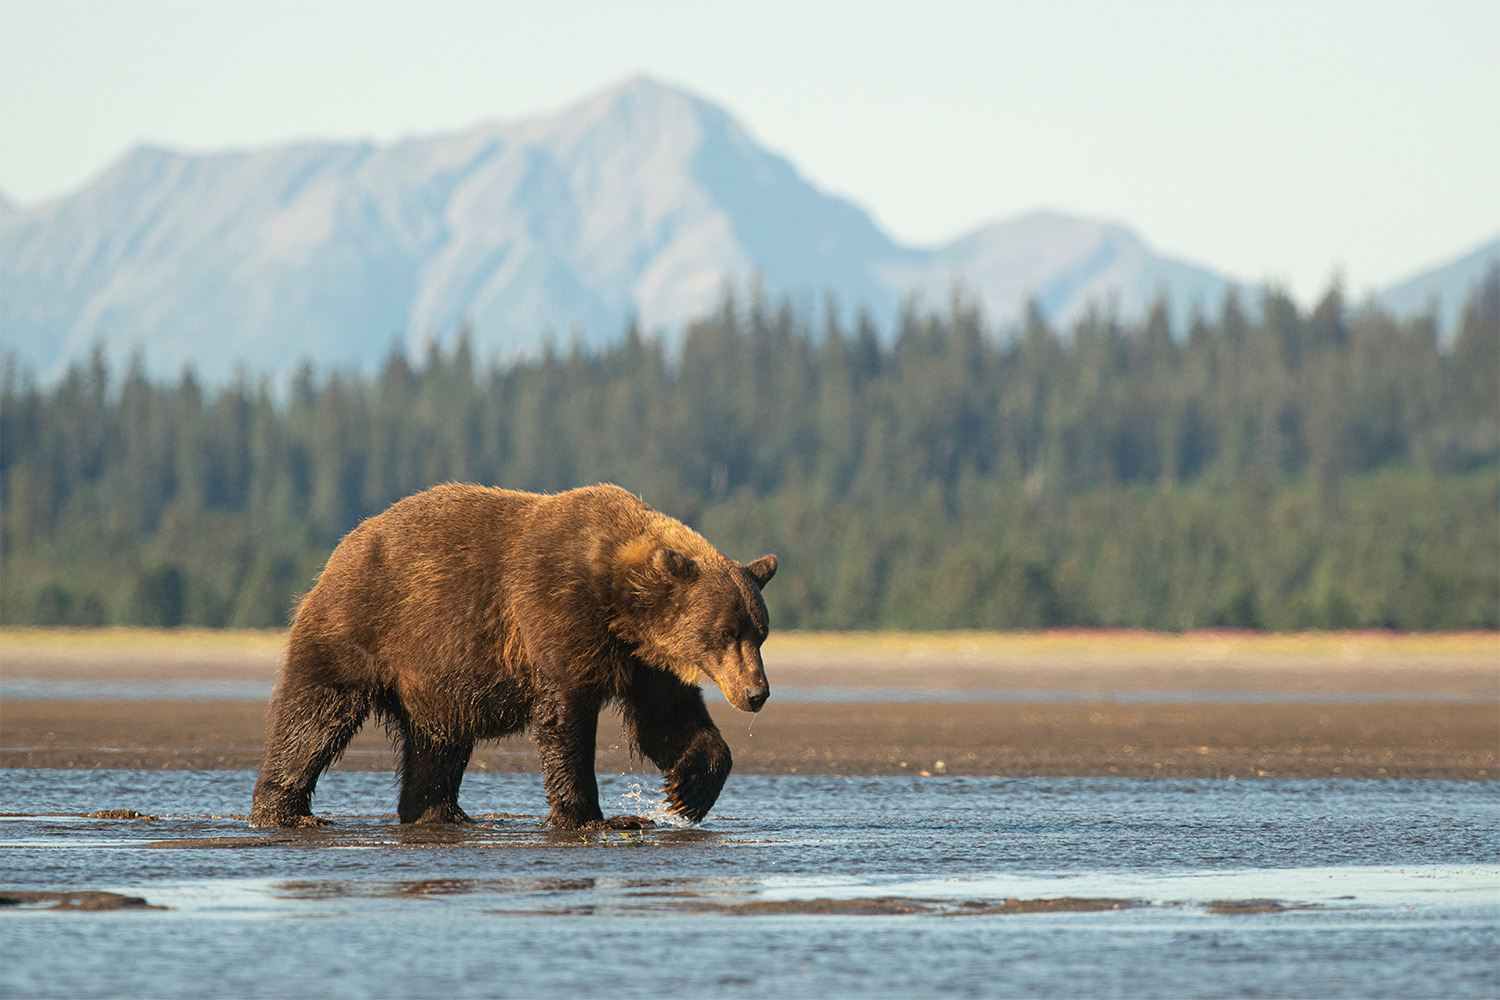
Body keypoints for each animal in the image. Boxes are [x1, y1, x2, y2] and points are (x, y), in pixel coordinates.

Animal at [249, 483, 776, 830]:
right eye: (725, 632)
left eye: (761, 632)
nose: (757, 692)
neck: (620, 603)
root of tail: (345, 544)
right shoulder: (557, 612)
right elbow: (565, 718)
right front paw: (593, 816)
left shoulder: (645, 660)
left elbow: (666, 719)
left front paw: (686, 792)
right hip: (362, 627)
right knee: (313, 717)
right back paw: (285, 811)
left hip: (435, 680)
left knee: (438, 744)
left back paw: (440, 812)